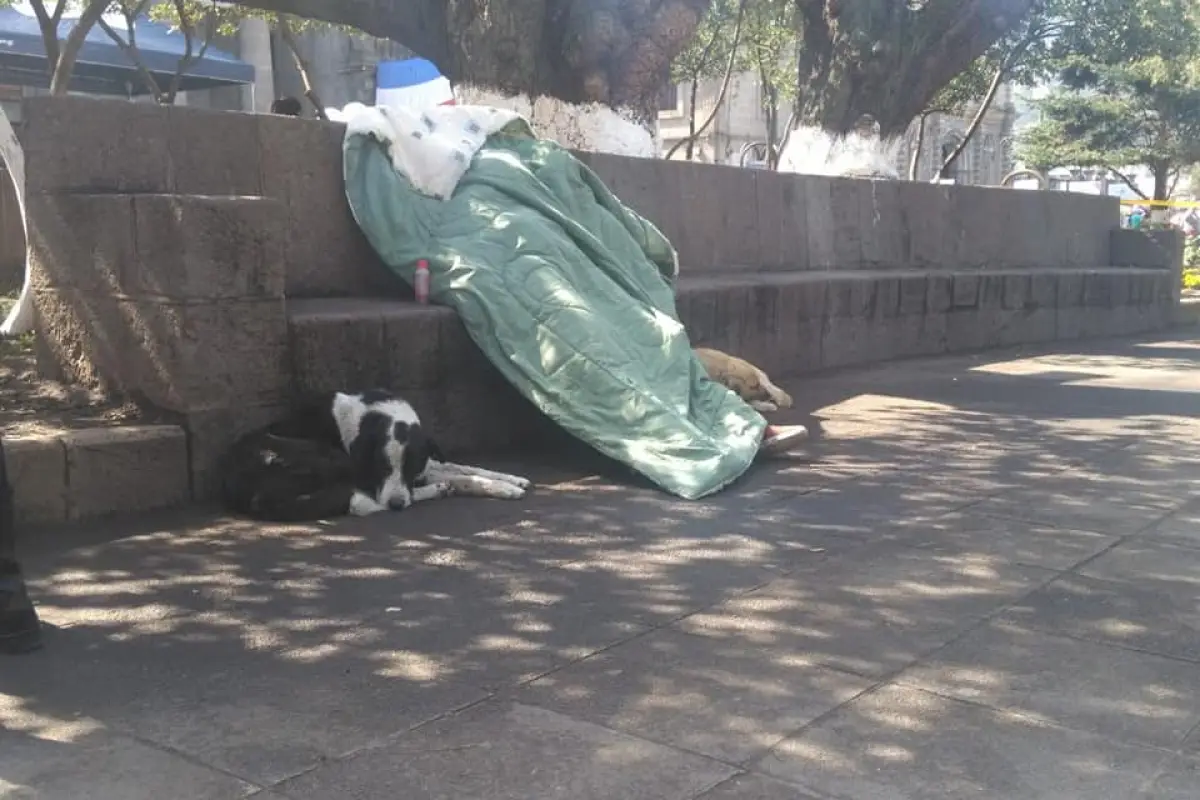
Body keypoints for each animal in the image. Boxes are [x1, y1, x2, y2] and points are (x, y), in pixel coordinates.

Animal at [222, 388, 530, 525]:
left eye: (410, 467)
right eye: (381, 466)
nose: (396, 505)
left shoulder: (423, 465)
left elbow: (464, 469)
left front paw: (510, 481)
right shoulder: (368, 475)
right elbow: (454, 475)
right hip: (329, 456)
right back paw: (438, 490)